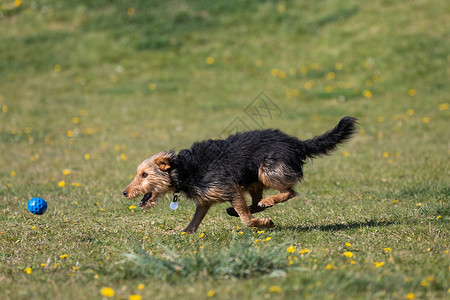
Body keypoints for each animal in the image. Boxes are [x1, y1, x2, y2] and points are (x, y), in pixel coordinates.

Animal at [123, 116, 358, 233]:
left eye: (144, 175)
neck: (183, 169)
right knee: (256, 202)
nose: (124, 193)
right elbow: (194, 222)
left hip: (267, 171)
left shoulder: (231, 190)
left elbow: (247, 221)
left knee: (289, 192)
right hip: (255, 180)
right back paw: (248, 207)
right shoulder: (206, 200)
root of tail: (297, 143)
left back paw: (268, 201)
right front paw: (182, 233)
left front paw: (265, 224)